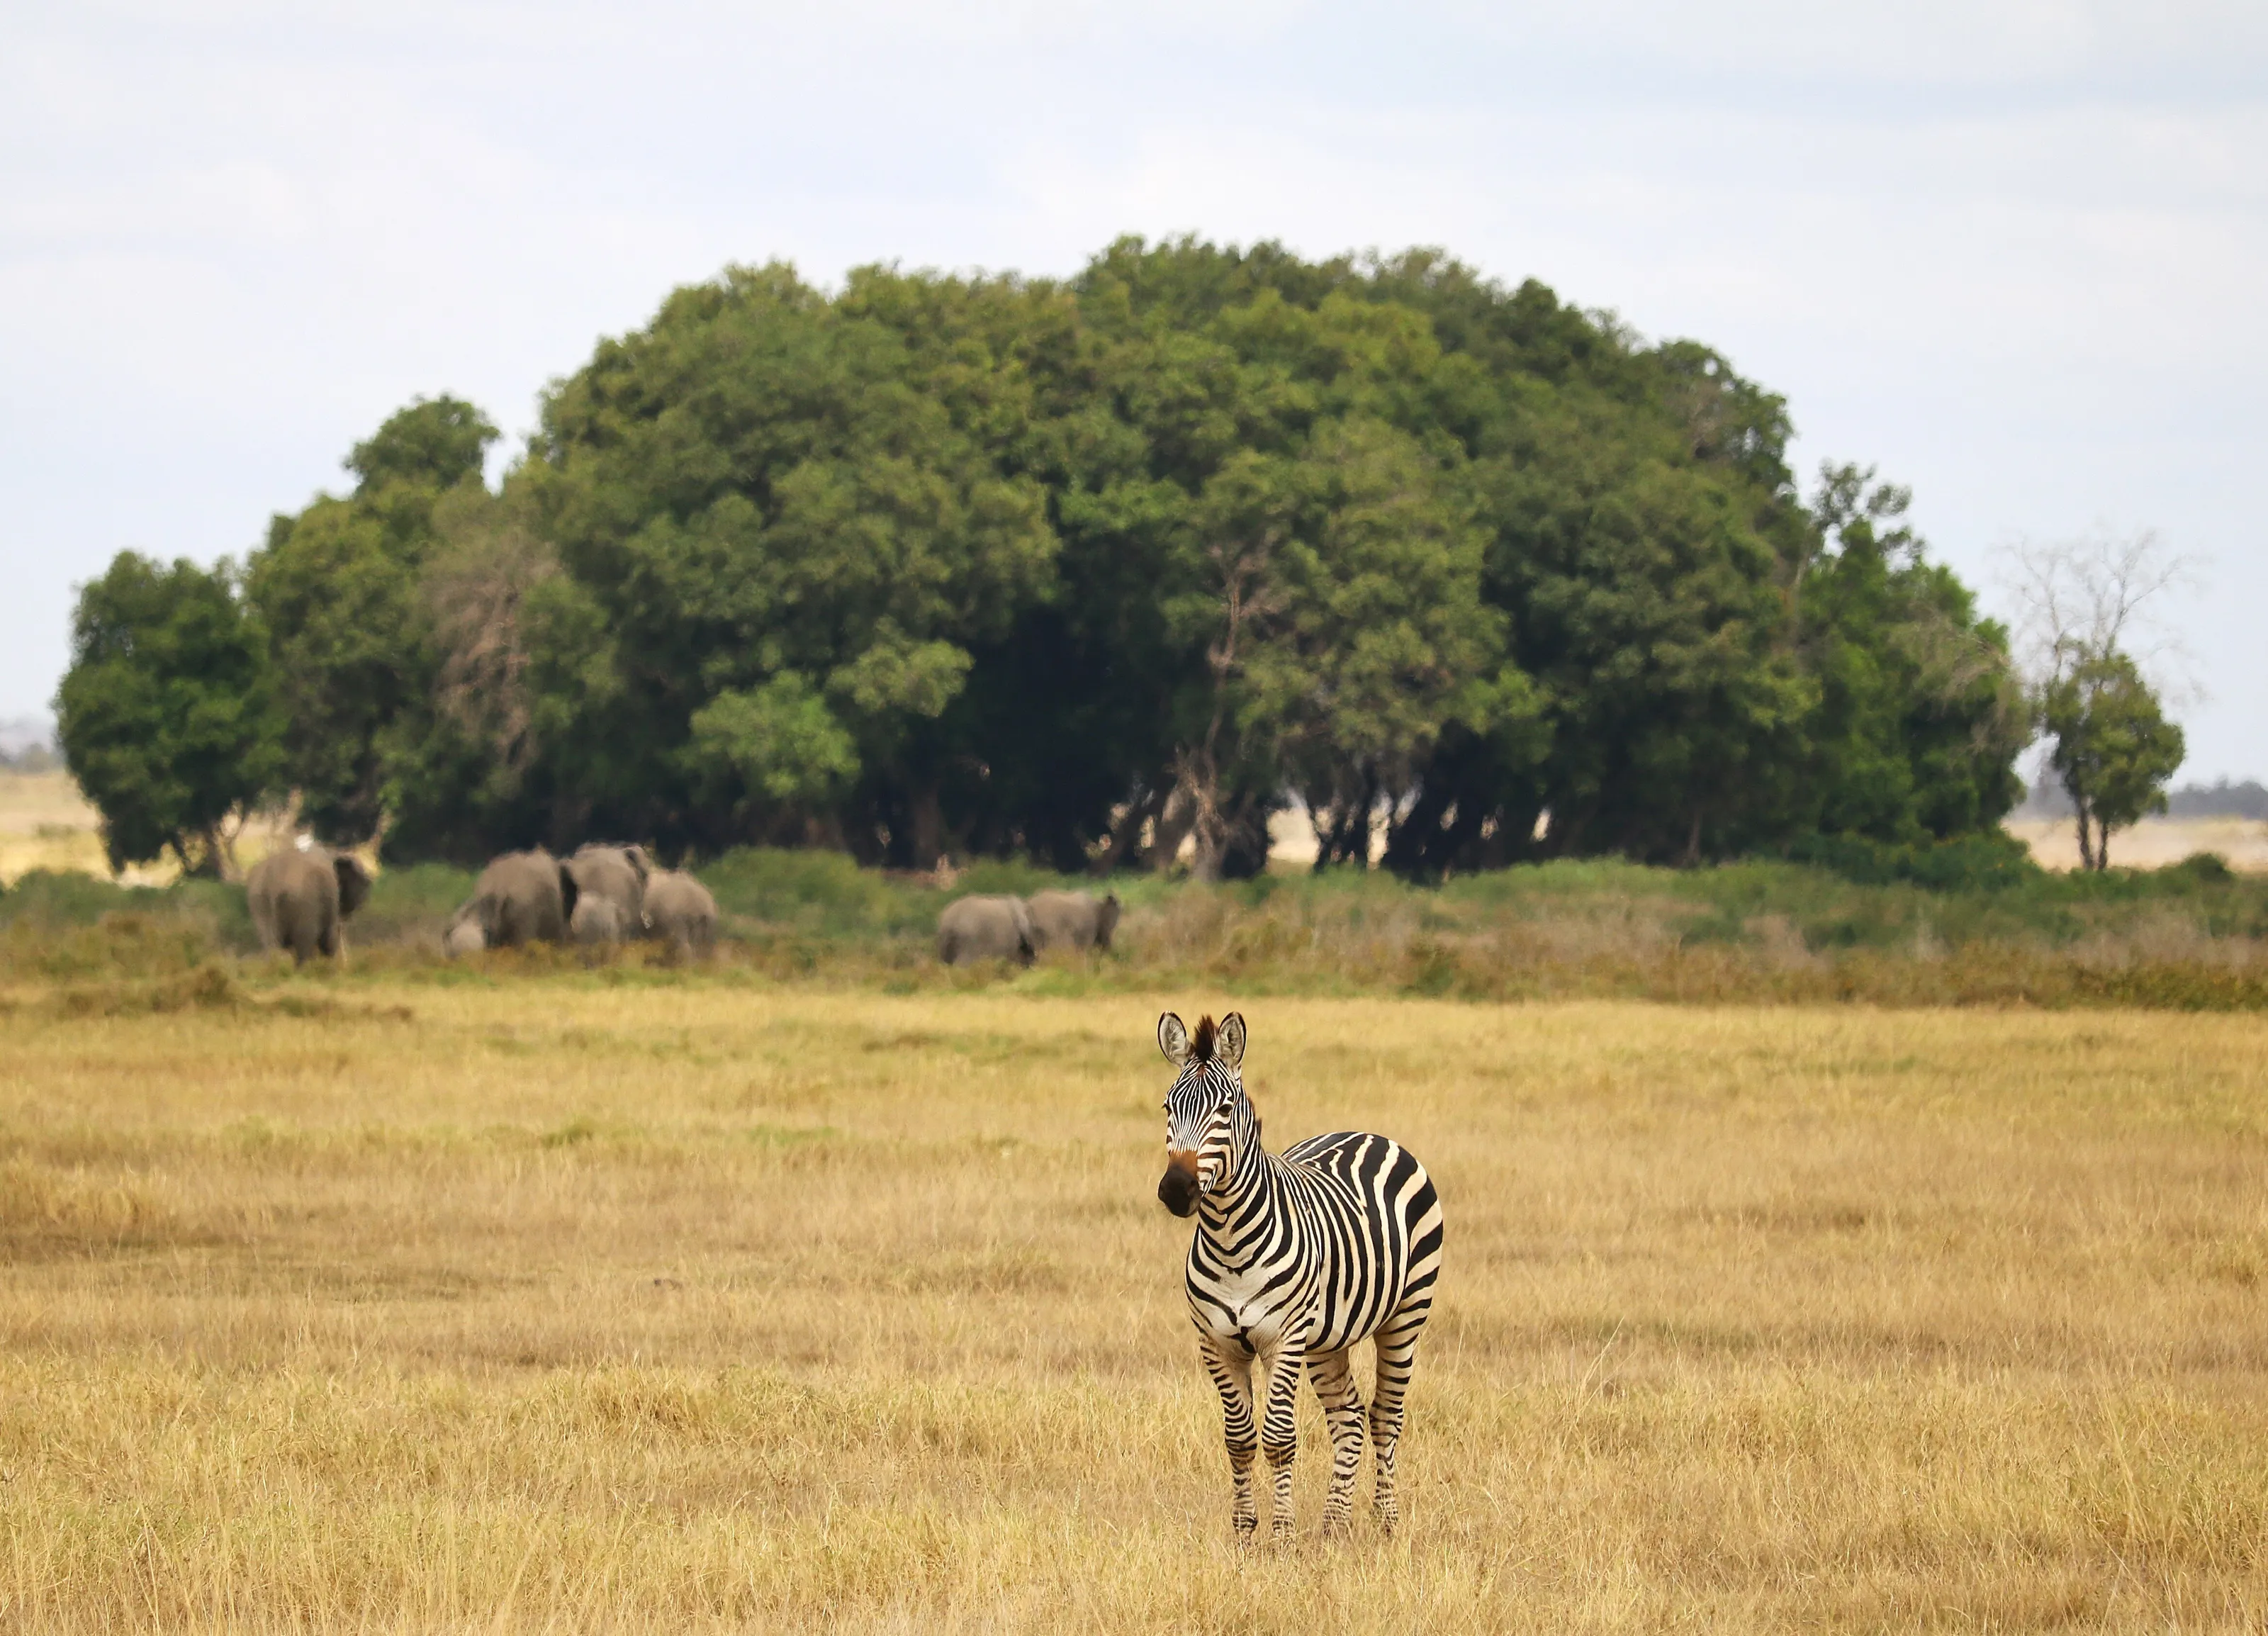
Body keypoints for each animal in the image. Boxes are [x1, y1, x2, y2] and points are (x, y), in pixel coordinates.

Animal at [1154, 1010, 1444, 1539]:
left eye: (1225, 1109)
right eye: (1168, 1106)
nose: (1176, 1190)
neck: (1229, 1239)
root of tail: (1367, 1134)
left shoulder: (1282, 1339)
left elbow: (1279, 1438)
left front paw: (1283, 1534)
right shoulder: (1217, 1344)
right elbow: (1239, 1439)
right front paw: (1244, 1531)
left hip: (1406, 1316)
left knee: (1385, 1416)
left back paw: (1386, 1522)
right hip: (1328, 1340)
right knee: (1349, 1417)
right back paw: (1334, 1524)